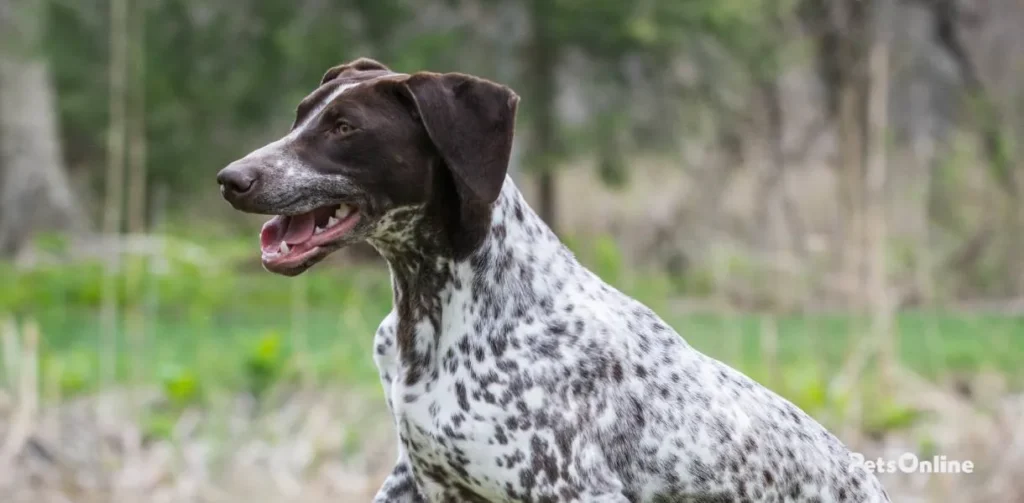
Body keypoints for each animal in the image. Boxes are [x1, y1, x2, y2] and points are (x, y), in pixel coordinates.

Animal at [216, 59, 888, 503]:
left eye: (345, 128)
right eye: (301, 117)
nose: (230, 179)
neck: (441, 314)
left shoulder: (574, 490)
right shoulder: (424, 480)